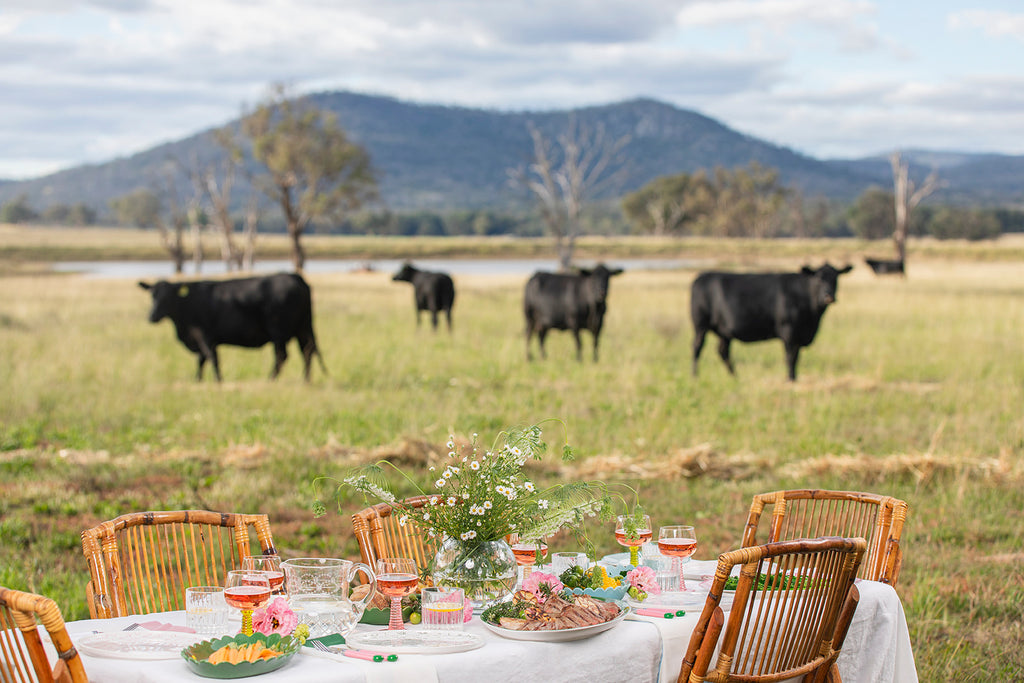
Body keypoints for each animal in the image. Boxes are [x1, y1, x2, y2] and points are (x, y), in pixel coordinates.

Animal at [138, 270, 325, 382]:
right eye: (152, 295)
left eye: (167, 297)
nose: (151, 316)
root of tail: (294, 276)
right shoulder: (202, 339)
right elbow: (202, 360)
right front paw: (198, 380)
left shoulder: (205, 336)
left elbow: (211, 359)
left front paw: (218, 380)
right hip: (302, 328)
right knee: (307, 352)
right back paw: (305, 380)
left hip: (278, 331)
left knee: (282, 356)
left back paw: (270, 379)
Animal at [688, 264, 856, 382]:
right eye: (818, 279)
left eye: (835, 278)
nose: (828, 296)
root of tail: (700, 277)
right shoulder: (789, 332)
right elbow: (790, 358)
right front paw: (791, 379)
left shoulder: (799, 335)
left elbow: (796, 358)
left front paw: (793, 378)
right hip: (700, 326)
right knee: (697, 348)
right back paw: (695, 376)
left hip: (724, 332)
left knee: (723, 351)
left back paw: (734, 376)